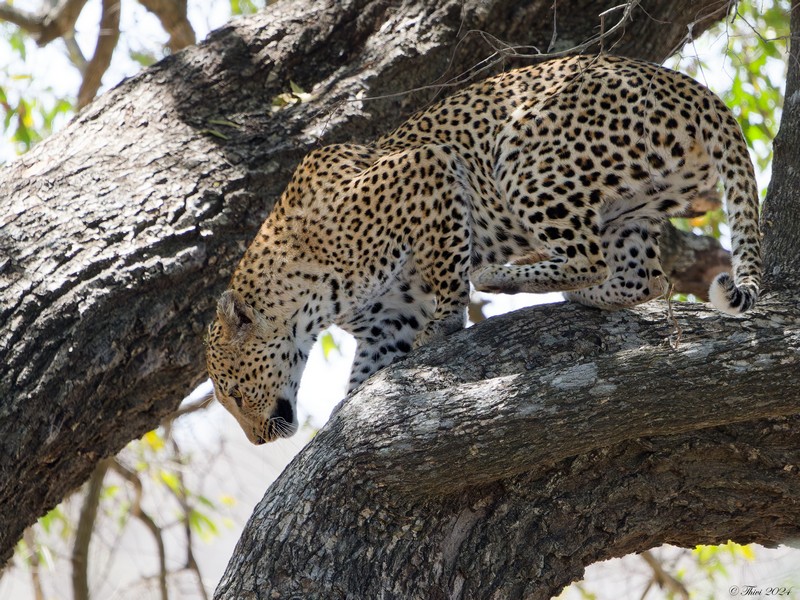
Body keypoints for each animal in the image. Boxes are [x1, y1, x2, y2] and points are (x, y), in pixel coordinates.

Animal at [203, 52, 760, 446]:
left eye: (234, 392)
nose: (257, 440)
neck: (307, 299)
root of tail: (689, 85)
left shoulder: (428, 169)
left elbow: (446, 270)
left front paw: (447, 323)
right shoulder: (387, 322)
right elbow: (366, 370)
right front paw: (351, 403)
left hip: (525, 155)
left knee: (588, 257)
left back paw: (499, 277)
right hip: (634, 207)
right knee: (643, 277)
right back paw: (583, 296)